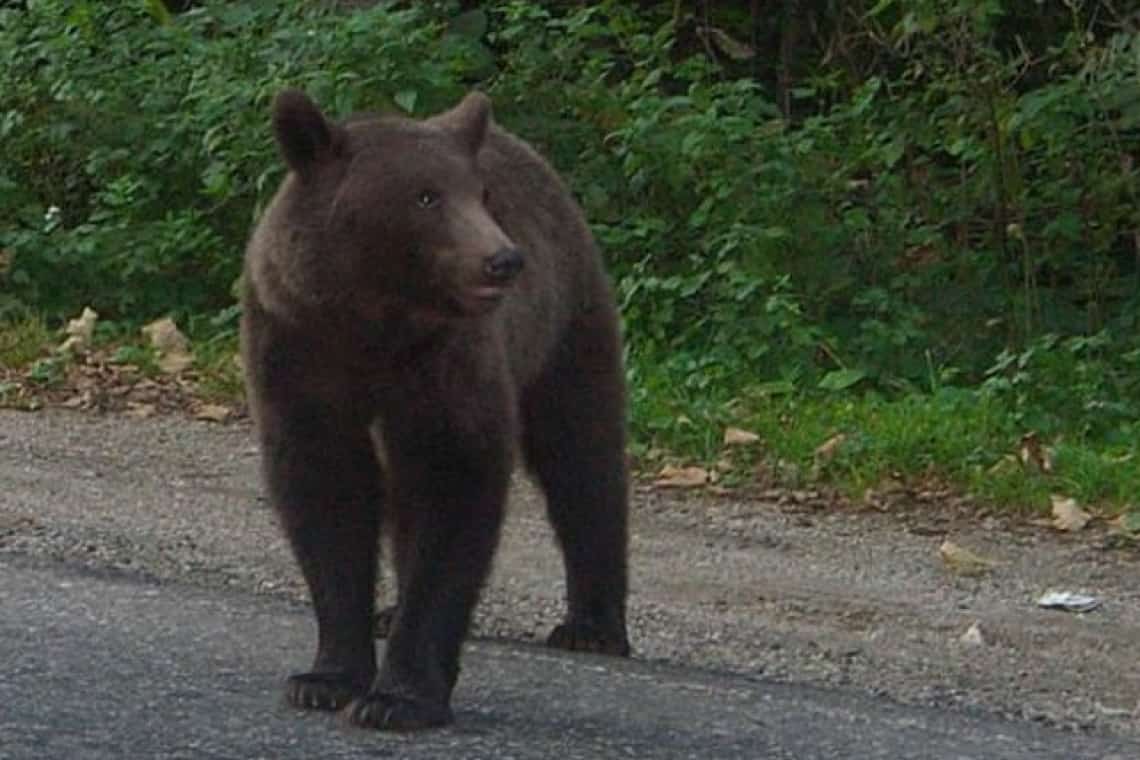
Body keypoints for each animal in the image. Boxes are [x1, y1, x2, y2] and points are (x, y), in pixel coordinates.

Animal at [242, 87, 633, 729]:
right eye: (425, 195)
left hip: (566, 326)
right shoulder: (298, 347)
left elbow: (453, 488)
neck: (373, 324)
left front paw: (397, 697)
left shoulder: (447, 366)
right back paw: (388, 611)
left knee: (582, 458)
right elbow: (325, 493)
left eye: (480, 194)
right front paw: (325, 678)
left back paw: (592, 625)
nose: (503, 259)